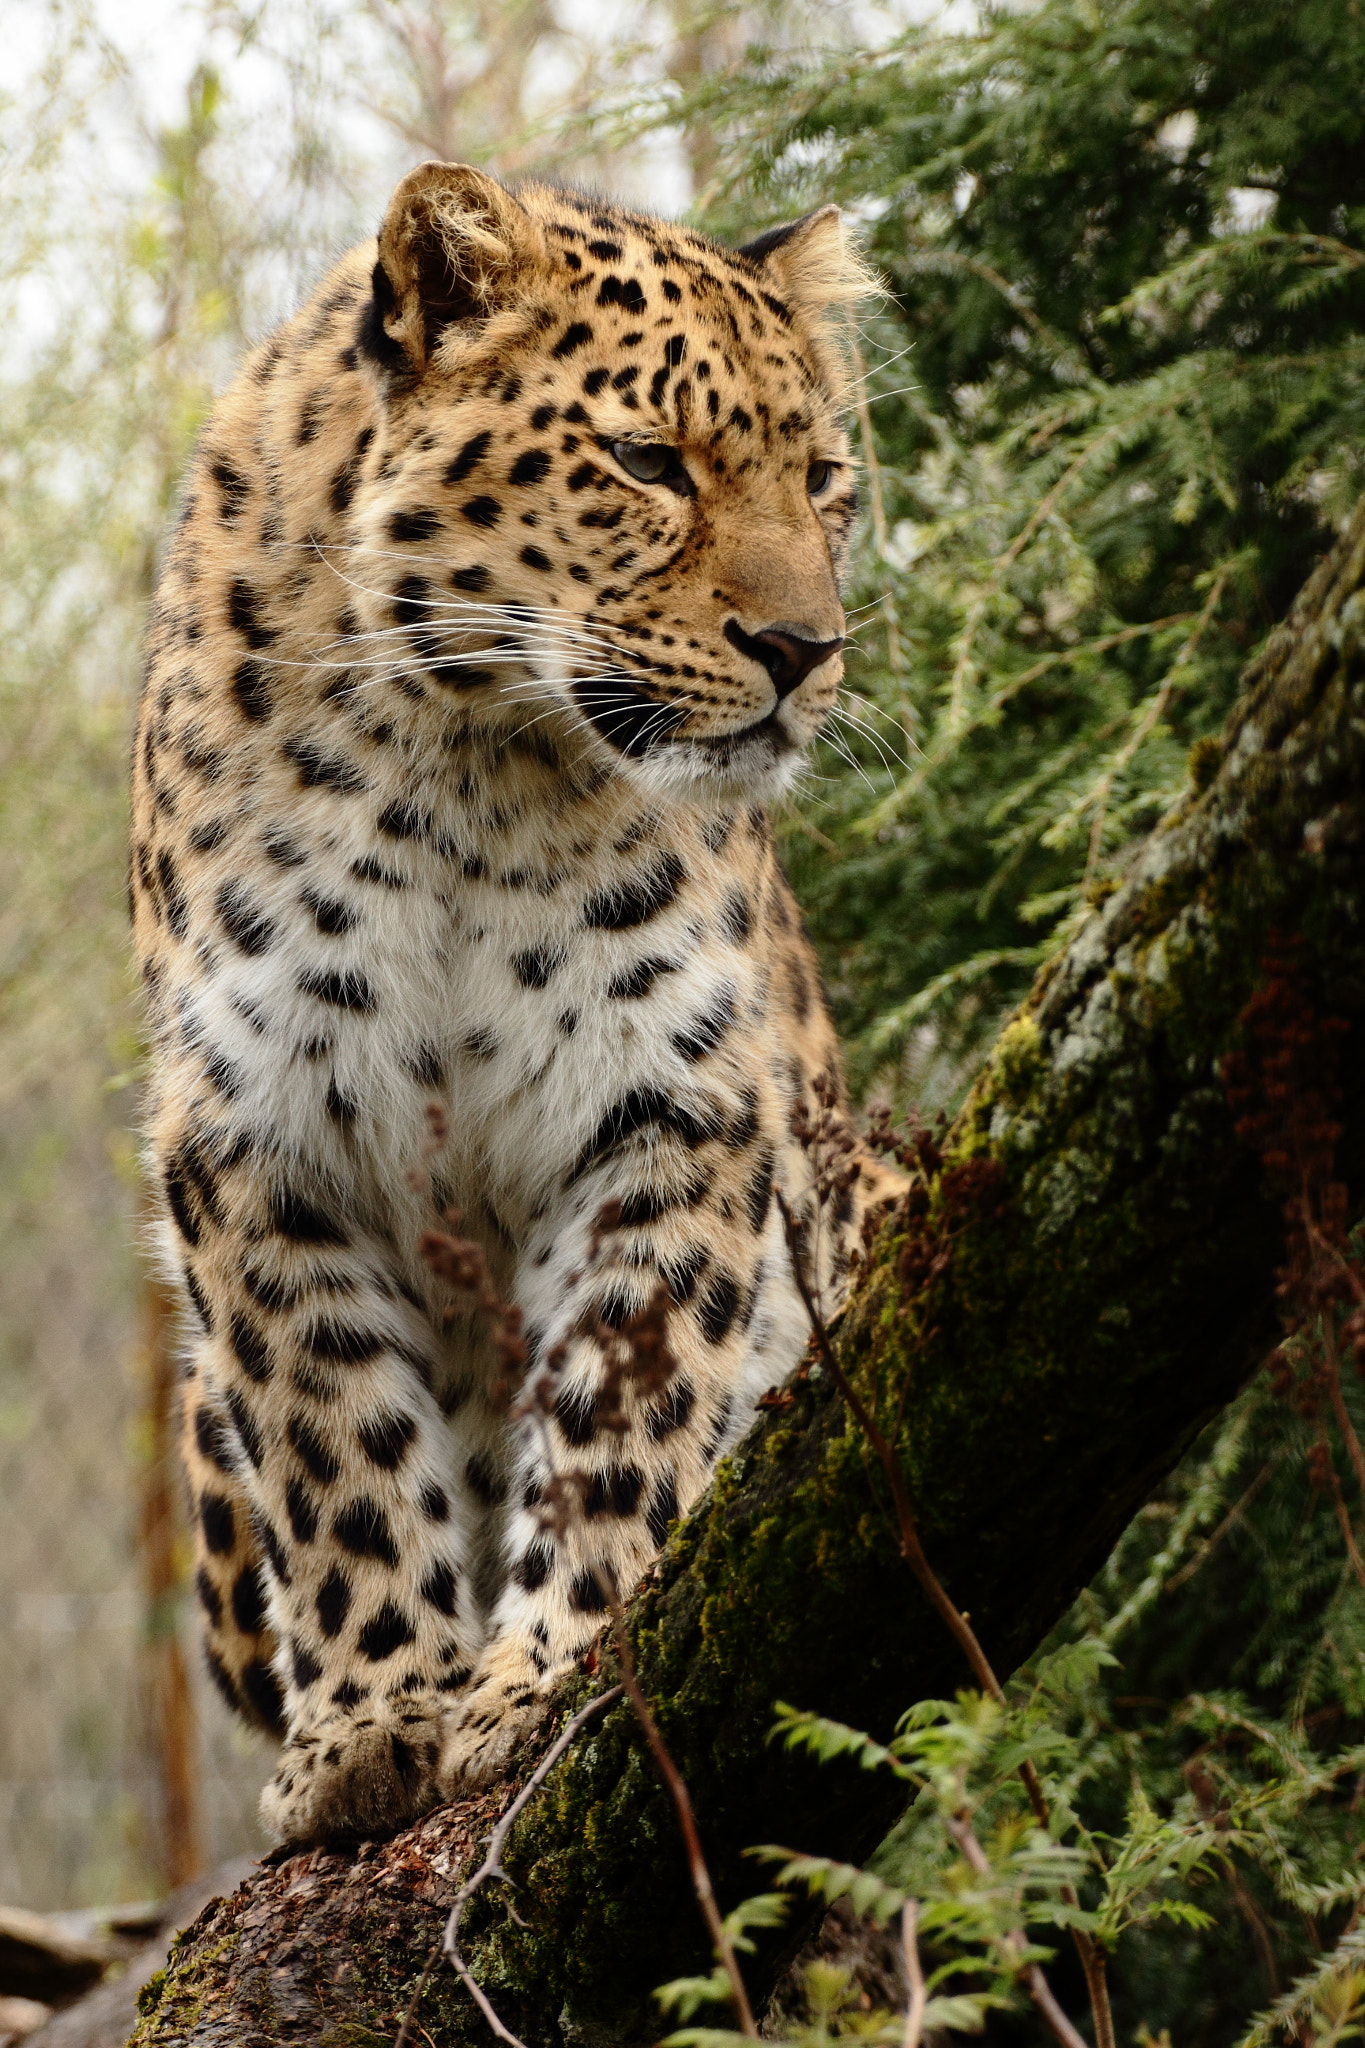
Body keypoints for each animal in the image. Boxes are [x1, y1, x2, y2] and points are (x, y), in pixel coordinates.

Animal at [133, 159, 900, 1851]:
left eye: (825, 480)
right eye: (647, 461)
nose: (805, 650)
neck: (472, 760)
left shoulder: (677, 1099)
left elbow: (620, 1398)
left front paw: (542, 1674)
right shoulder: (256, 1131)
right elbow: (335, 1438)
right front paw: (371, 1721)